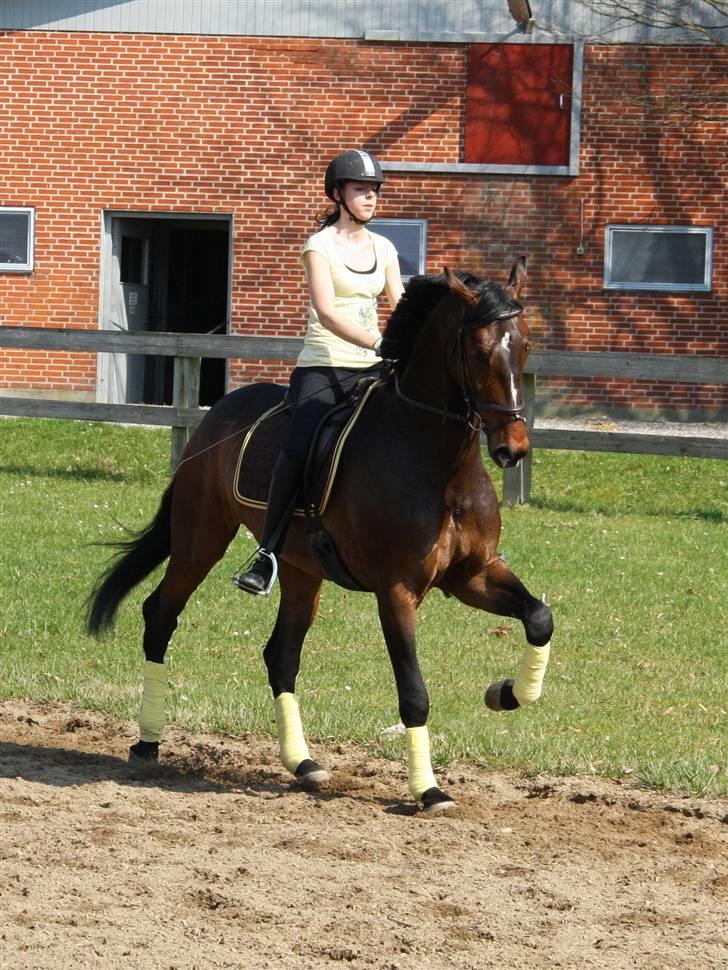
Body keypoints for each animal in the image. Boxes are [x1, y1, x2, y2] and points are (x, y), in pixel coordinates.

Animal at [88, 258, 552, 808]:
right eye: (480, 352)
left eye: (525, 346)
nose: (513, 449)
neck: (440, 464)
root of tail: (213, 416)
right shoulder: (397, 591)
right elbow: (414, 692)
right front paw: (429, 789)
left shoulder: (474, 574)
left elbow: (539, 618)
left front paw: (505, 693)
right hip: (201, 539)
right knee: (161, 614)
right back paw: (147, 743)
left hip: (298, 567)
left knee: (280, 655)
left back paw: (303, 764)